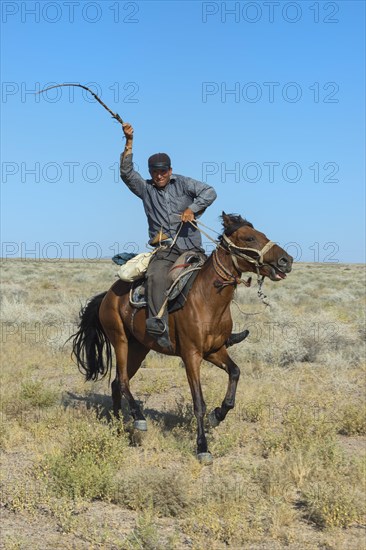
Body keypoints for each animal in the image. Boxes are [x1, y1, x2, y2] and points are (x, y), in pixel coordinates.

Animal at [73, 213, 294, 464]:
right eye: (249, 238)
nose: (286, 260)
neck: (207, 299)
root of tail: (107, 295)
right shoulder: (191, 356)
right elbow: (198, 402)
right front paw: (202, 447)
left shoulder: (214, 351)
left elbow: (235, 373)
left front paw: (218, 414)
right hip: (120, 341)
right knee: (122, 381)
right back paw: (138, 418)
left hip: (139, 348)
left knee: (116, 382)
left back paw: (118, 426)